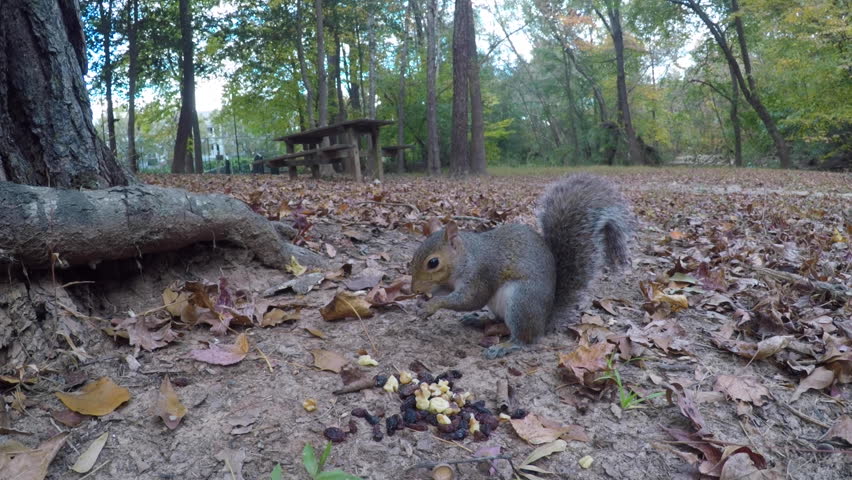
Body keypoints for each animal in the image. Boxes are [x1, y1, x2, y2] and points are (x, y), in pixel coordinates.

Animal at [409, 174, 635, 358]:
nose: (414, 288)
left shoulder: (481, 275)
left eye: (433, 262)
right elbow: (444, 291)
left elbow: (469, 299)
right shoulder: (449, 282)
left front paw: (432, 305)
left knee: (525, 339)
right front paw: (422, 300)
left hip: (521, 302)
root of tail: (544, 322)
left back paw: (505, 346)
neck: (466, 257)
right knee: (498, 321)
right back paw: (478, 320)